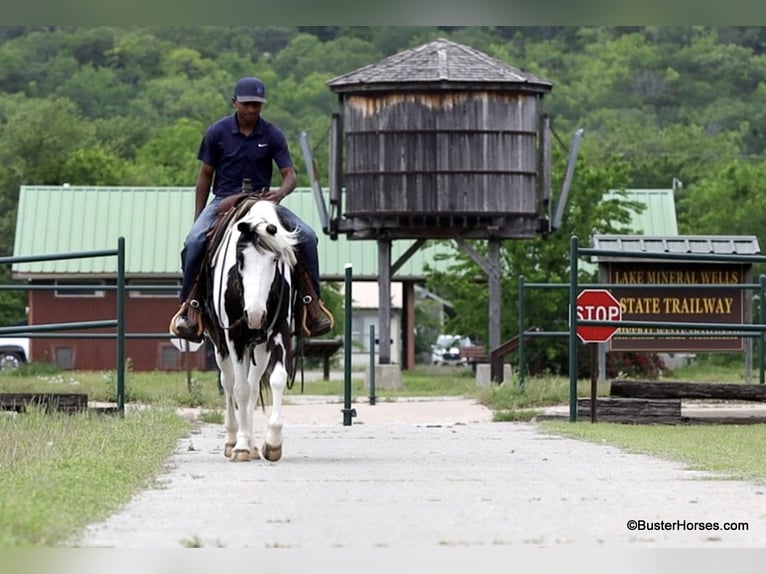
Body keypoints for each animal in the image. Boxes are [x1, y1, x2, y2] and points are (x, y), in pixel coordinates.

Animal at [205, 199, 299, 462]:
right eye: (240, 259)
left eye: (275, 260)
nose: (255, 315)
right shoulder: (234, 336)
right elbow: (240, 389)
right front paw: (241, 446)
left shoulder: (279, 330)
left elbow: (276, 379)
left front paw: (272, 442)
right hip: (222, 345)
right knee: (229, 383)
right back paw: (232, 440)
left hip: (258, 347)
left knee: (254, 384)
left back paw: (254, 445)